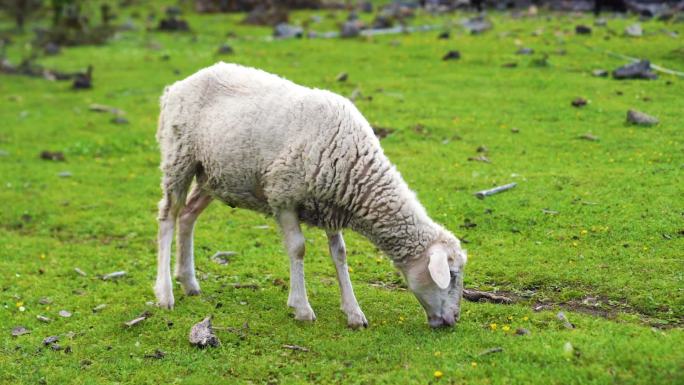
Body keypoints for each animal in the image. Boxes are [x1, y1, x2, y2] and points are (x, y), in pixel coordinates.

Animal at [154, 62, 470, 328]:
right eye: (452, 276)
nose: (453, 320)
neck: (355, 169)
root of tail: (177, 86)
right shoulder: (283, 197)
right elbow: (298, 249)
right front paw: (302, 308)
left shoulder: (332, 206)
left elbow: (339, 255)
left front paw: (353, 312)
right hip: (179, 157)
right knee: (168, 217)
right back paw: (165, 293)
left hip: (214, 174)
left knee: (188, 215)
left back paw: (189, 282)